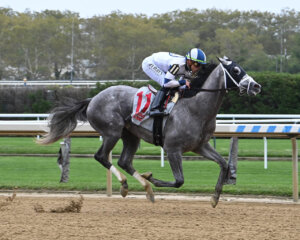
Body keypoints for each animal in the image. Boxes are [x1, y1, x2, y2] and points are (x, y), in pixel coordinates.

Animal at [39, 57, 260, 207]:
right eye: (236, 70)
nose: (256, 86)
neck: (196, 108)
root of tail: (92, 98)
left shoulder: (200, 146)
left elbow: (224, 164)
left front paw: (215, 198)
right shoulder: (172, 148)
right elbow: (179, 181)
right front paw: (151, 177)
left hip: (130, 135)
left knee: (124, 161)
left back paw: (146, 189)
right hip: (112, 132)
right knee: (102, 156)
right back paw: (128, 184)